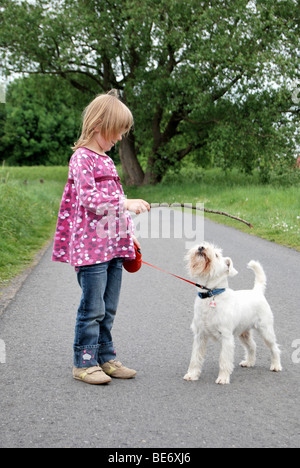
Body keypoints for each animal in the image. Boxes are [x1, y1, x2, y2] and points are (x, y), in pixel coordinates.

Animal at [184, 243, 282, 386]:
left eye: (217, 255)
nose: (201, 247)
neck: (211, 295)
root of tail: (257, 291)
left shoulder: (226, 337)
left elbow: (224, 360)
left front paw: (223, 378)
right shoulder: (200, 336)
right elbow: (195, 358)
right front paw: (192, 375)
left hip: (266, 330)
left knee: (274, 347)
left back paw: (276, 365)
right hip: (244, 333)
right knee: (252, 346)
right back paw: (249, 362)